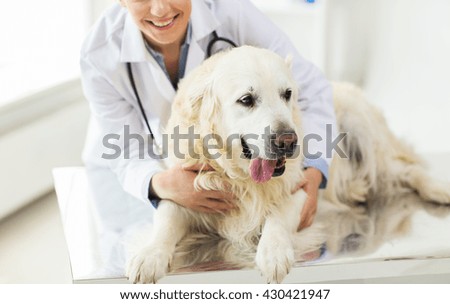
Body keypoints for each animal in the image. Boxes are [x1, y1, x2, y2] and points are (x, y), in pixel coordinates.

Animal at [125, 46, 450, 284]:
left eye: (287, 94)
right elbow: (166, 220)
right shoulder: (186, 189)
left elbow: (278, 216)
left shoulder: (302, 187)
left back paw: (438, 190)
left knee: (407, 170)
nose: (288, 141)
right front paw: (149, 255)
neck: (242, 179)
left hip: (363, 132)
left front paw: (273, 252)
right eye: (246, 99)